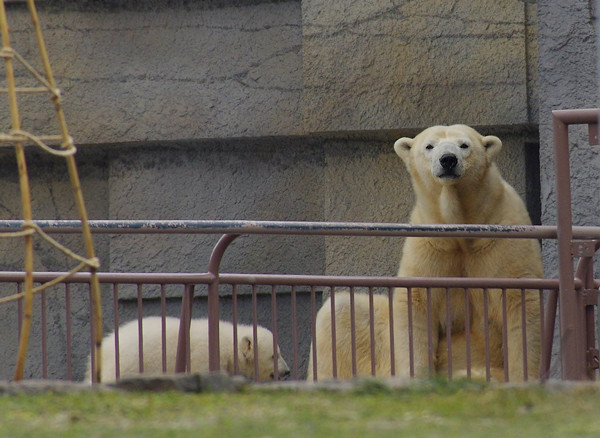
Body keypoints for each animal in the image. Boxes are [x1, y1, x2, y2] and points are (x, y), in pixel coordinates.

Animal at [394, 123, 544, 380]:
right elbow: (417, 302)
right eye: (429, 146)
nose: (448, 160)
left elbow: (520, 300)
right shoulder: (430, 245)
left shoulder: (504, 238)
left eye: (464, 145)